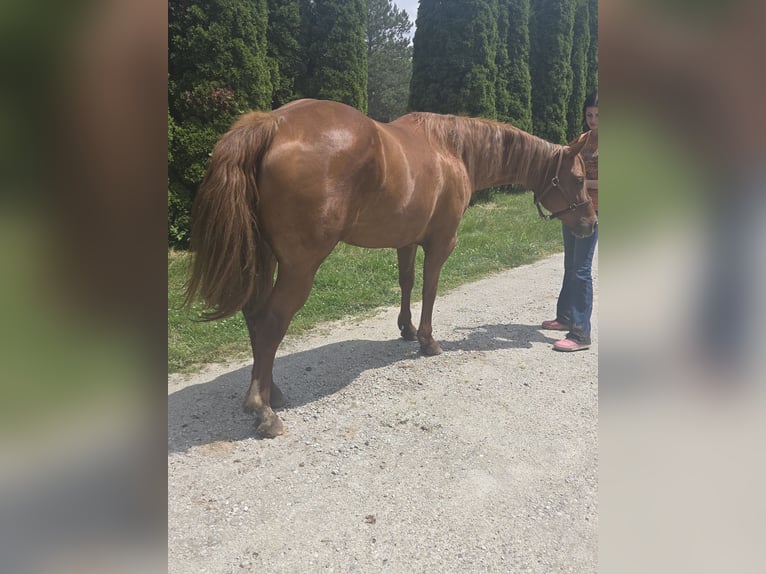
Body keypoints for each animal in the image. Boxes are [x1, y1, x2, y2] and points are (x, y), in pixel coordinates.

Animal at [185, 98, 597, 437]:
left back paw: (273, 392)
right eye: (578, 178)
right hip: (299, 267)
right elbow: (430, 287)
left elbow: (407, 281)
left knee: (254, 317)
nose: (590, 223)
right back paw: (264, 409)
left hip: (264, 257)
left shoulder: (406, 240)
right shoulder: (442, 242)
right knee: (271, 320)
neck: (451, 150)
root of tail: (273, 123)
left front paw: (407, 329)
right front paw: (428, 340)